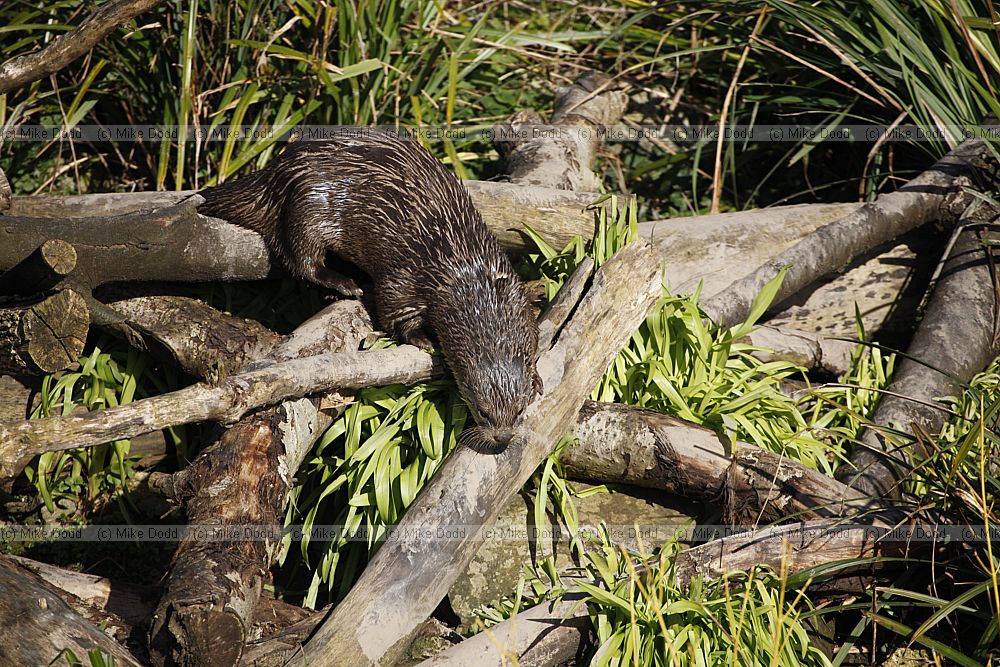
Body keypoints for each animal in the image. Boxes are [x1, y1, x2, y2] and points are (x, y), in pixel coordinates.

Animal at [198, 134, 541, 450]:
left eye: (519, 410)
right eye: (483, 412)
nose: (502, 437)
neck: (466, 272)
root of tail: (277, 169)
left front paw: (535, 375)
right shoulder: (406, 276)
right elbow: (392, 310)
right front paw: (424, 340)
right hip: (306, 205)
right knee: (300, 257)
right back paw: (346, 283)